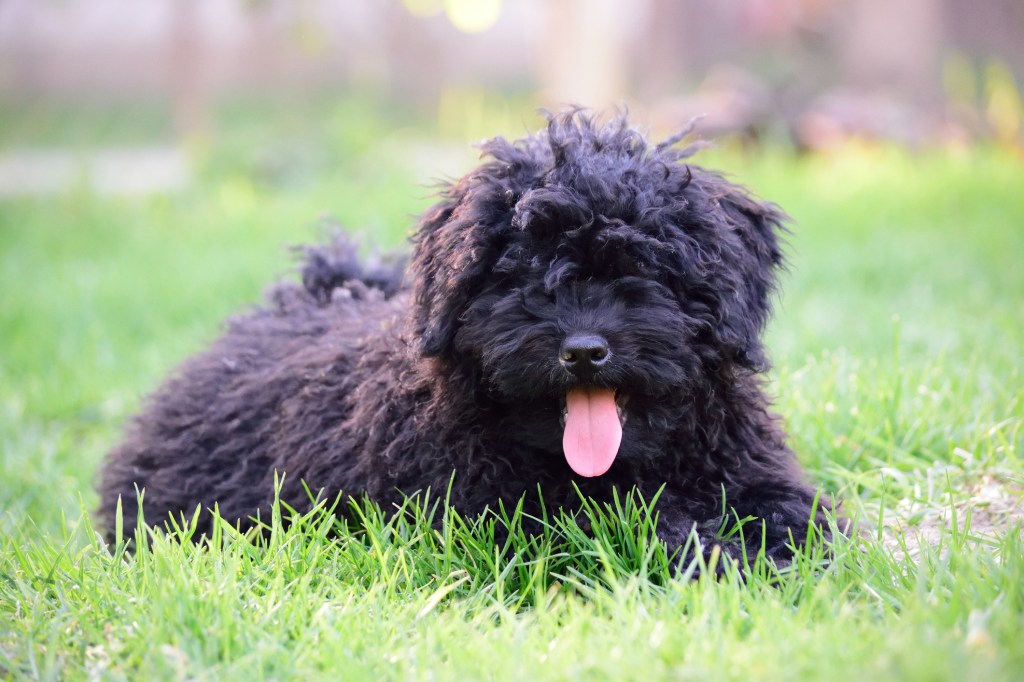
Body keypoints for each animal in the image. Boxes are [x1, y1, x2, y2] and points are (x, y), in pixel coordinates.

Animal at [97, 111, 831, 565]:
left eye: (645, 268)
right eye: (522, 273)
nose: (584, 349)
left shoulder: (751, 470)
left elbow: (802, 519)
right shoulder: (501, 515)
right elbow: (635, 530)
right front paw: (712, 554)